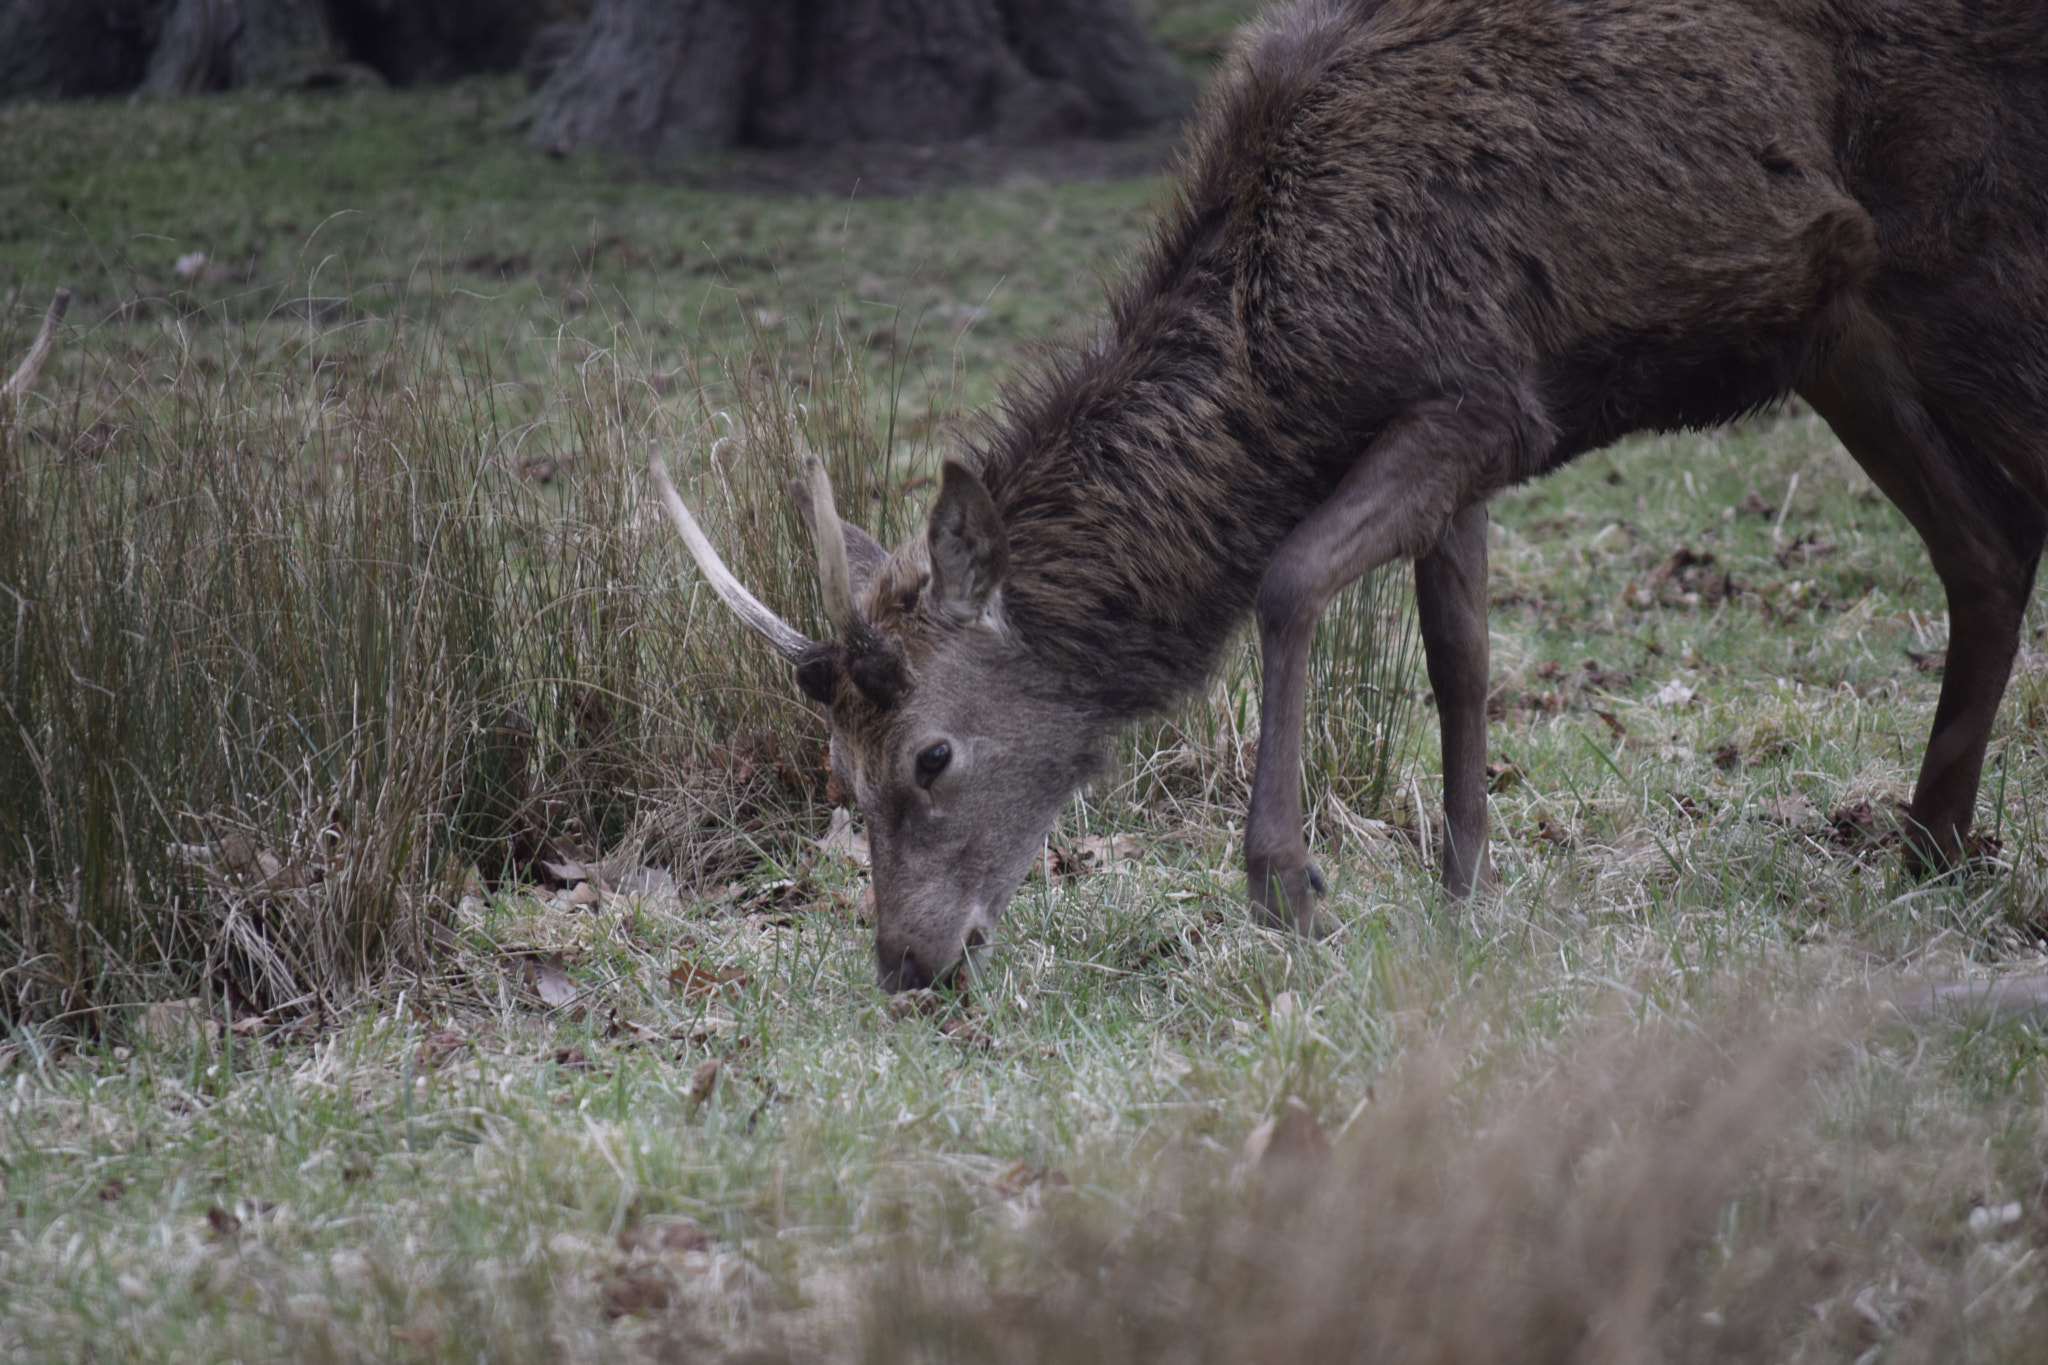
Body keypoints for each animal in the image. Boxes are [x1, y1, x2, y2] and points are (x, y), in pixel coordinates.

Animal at [651, 0, 2048, 991]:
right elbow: (1459, 655)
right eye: (837, 772)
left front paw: (1286, 886)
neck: (1296, 358)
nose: (903, 963)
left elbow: (1288, 578)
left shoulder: (1481, 399)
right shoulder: (1477, 434)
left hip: (1970, 244)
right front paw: (1463, 899)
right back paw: (1926, 849)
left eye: (931, 755)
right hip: (1840, 327)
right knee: (1984, 546)